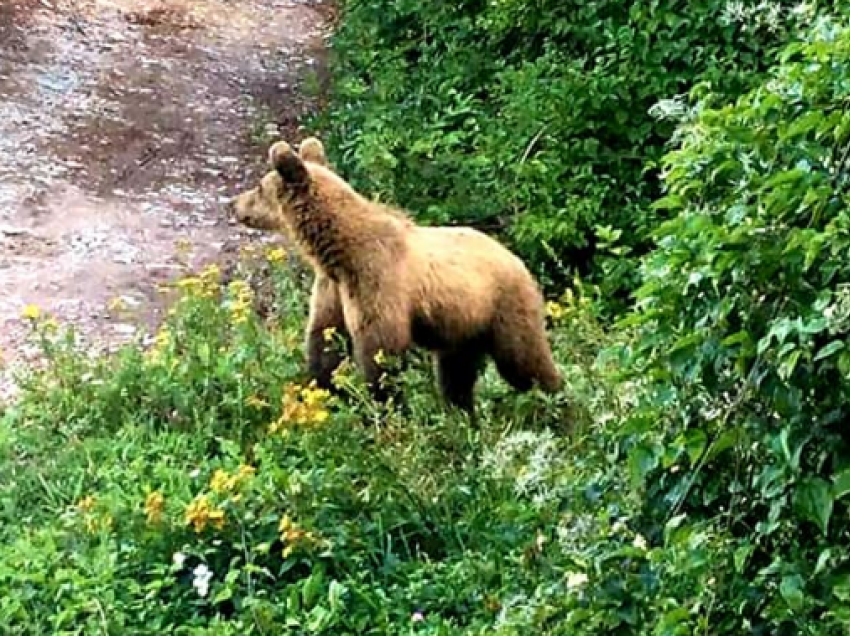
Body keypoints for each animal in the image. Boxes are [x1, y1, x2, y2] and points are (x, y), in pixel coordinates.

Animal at [224, 137, 564, 414]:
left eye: (259, 187)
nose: (233, 203)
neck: (337, 251)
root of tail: (518, 260)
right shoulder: (333, 288)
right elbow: (325, 342)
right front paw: (325, 392)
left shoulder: (377, 282)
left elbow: (381, 352)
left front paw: (385, 409)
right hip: (462, 326)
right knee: (456, 377)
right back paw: (462, 417)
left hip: (503, 307)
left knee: (525, 362)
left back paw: (561, 410)